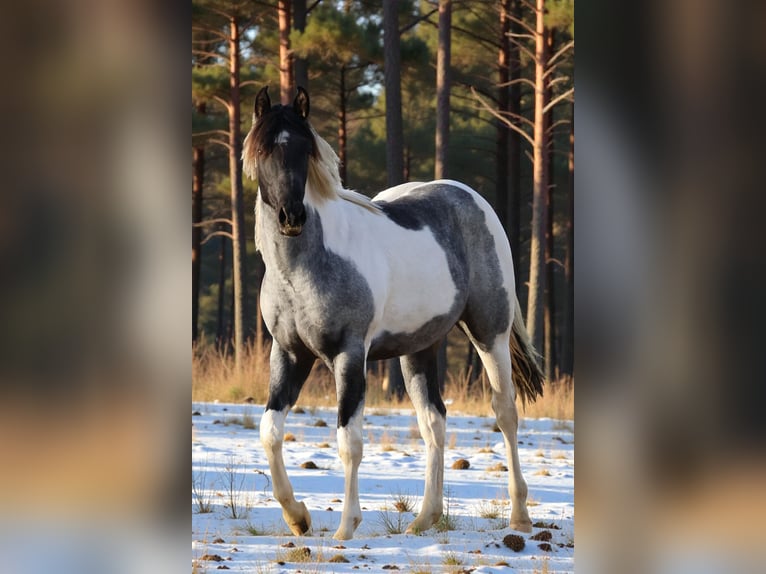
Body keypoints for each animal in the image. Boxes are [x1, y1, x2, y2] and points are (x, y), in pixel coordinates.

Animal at [242, 85, 545, 541]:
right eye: (263, 150)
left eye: (303, 149)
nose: (291, 217)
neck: (303, 269)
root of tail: (471, 198)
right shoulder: (289, 353)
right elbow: (270, 432)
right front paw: (298, 517)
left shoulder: (349, 355)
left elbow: (349, 441)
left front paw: (346, 527)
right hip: (418, 349)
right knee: (433, 421)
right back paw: (424, 518)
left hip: (489, 333)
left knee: (505, 413)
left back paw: (520, 516)